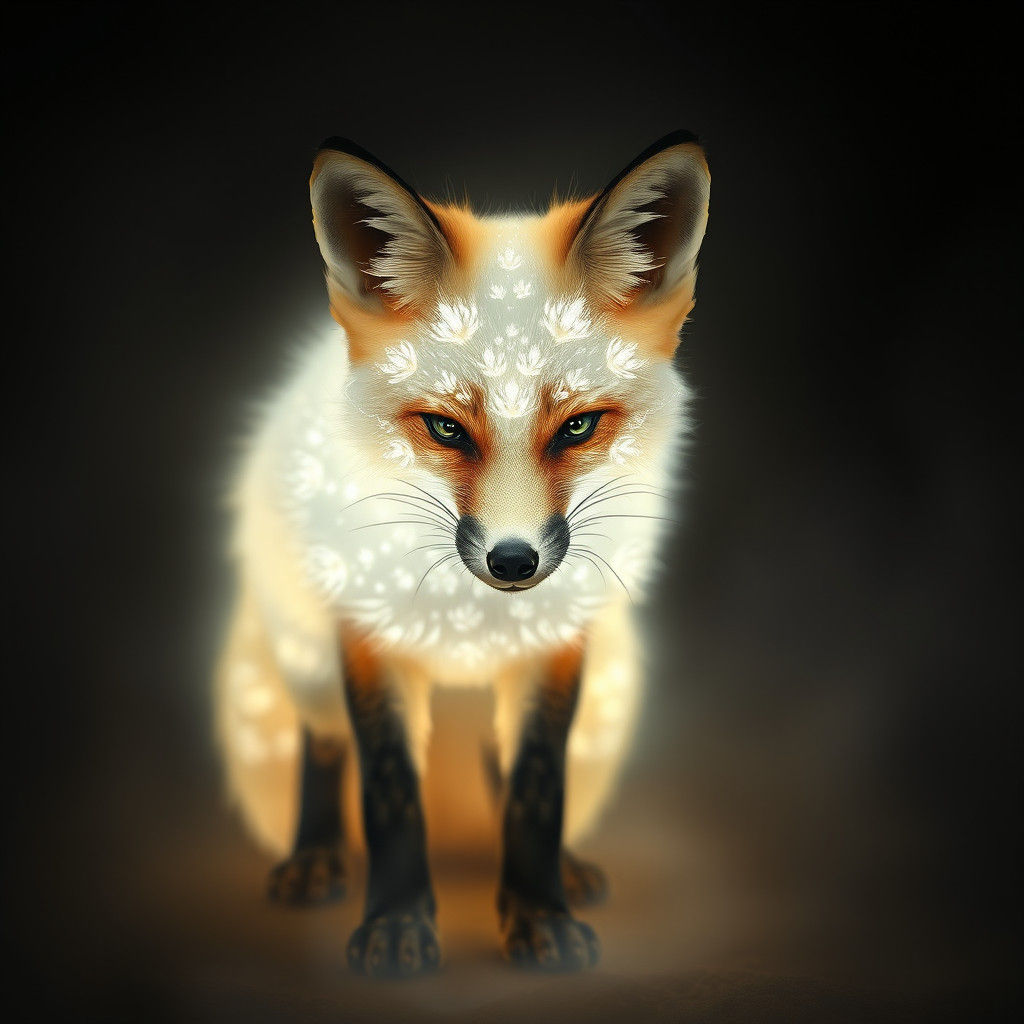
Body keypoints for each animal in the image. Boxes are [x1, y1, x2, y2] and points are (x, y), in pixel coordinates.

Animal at [214, 130, 710, 976]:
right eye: (445, 428)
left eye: (578, 427)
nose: (513, 561)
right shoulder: (369, 637)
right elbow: (388, 792)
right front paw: (396, 927)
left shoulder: (557, 642)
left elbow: (537, 788)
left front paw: (540, 914)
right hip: (305, 654)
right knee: (321, 742)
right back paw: (315, 856)